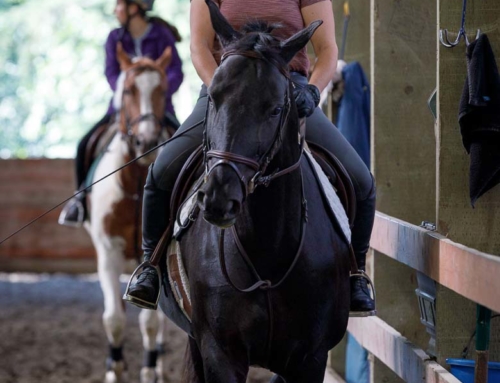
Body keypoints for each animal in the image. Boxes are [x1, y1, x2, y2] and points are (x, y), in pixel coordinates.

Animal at [87, 45, 176, 383]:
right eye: (128, 90)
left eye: (163, 89)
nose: (146, 141)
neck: (136, 186)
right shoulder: (108, 254)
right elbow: (113, 318)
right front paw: (115, 369)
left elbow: (150, 322)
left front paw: (149, 369)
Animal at [174, 3, 350, 383]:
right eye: (213, 98)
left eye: (275, 108)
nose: (219, 198)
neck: (267, 246)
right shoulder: (219, 353)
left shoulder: (309, 359)